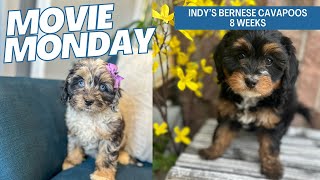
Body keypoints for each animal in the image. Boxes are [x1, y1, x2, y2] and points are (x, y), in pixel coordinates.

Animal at [200, 30, 310, 179]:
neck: (250, 98)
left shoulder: (271, 120)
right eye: (241, 55)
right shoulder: (228, 112)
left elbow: (270, 145)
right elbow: (221, 133)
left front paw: (272, 168)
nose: (251, 81)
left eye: (269, 61)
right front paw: (212, 151)